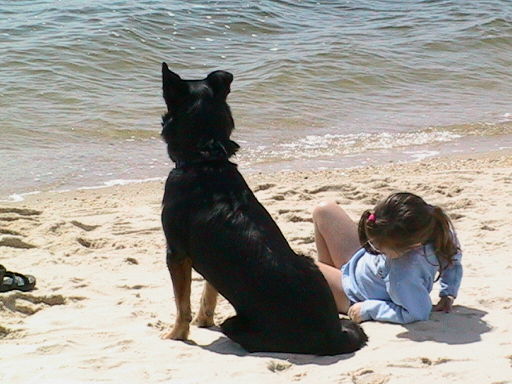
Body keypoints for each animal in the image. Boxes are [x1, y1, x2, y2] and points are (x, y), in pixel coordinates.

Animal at [161, 63, 368, 354]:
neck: (206, 158)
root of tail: (334, 336)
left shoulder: (176, 252)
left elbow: (182, 305)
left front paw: (175, 335)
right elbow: (209, 294)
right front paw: (204, 321)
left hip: (236, 324)